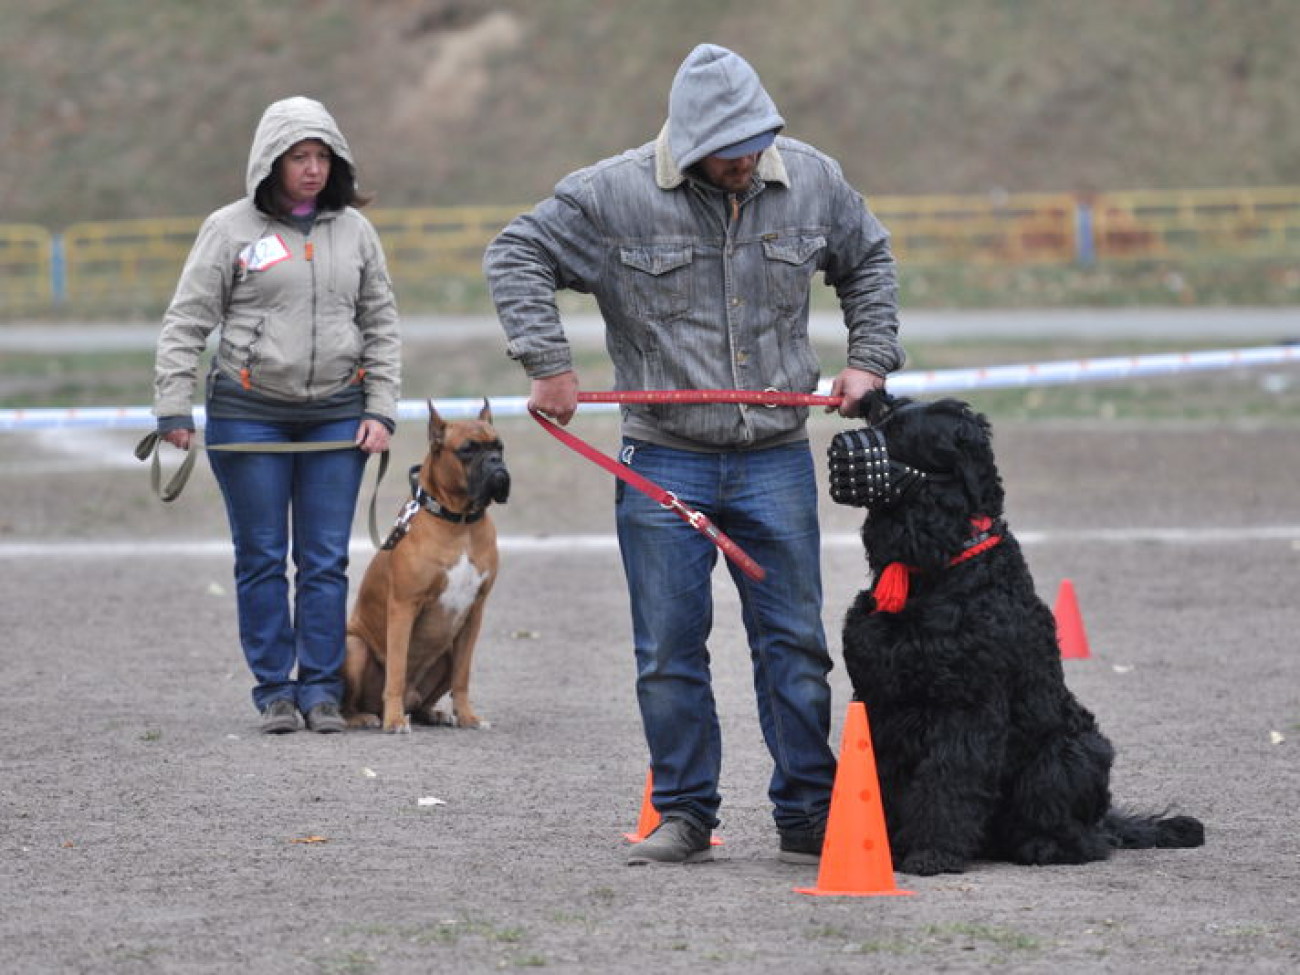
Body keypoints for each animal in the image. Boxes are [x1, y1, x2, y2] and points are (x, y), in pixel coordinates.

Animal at [343, 397, 509, 733]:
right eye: (467, 449)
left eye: (499, 446)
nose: (496, 462)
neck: (459, 522)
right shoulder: (404, 607)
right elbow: (396, 670)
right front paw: (394, 721)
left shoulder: (474, 612)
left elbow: (463, 676)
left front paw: (468, 716)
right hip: (355, 647)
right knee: (350, 702)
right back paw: (364, 717)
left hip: (446, 652)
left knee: (424, 700)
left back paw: (433, 713)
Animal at [826, 397, 1201, 878]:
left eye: (898, 428)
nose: (871, 401)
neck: (934, 570)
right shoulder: (880, 700)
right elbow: (882, 779)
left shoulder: (967, 707)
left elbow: (948, 780)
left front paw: (933, 852)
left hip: (1075, 751)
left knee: (1083, 836)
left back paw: (1046, 846)